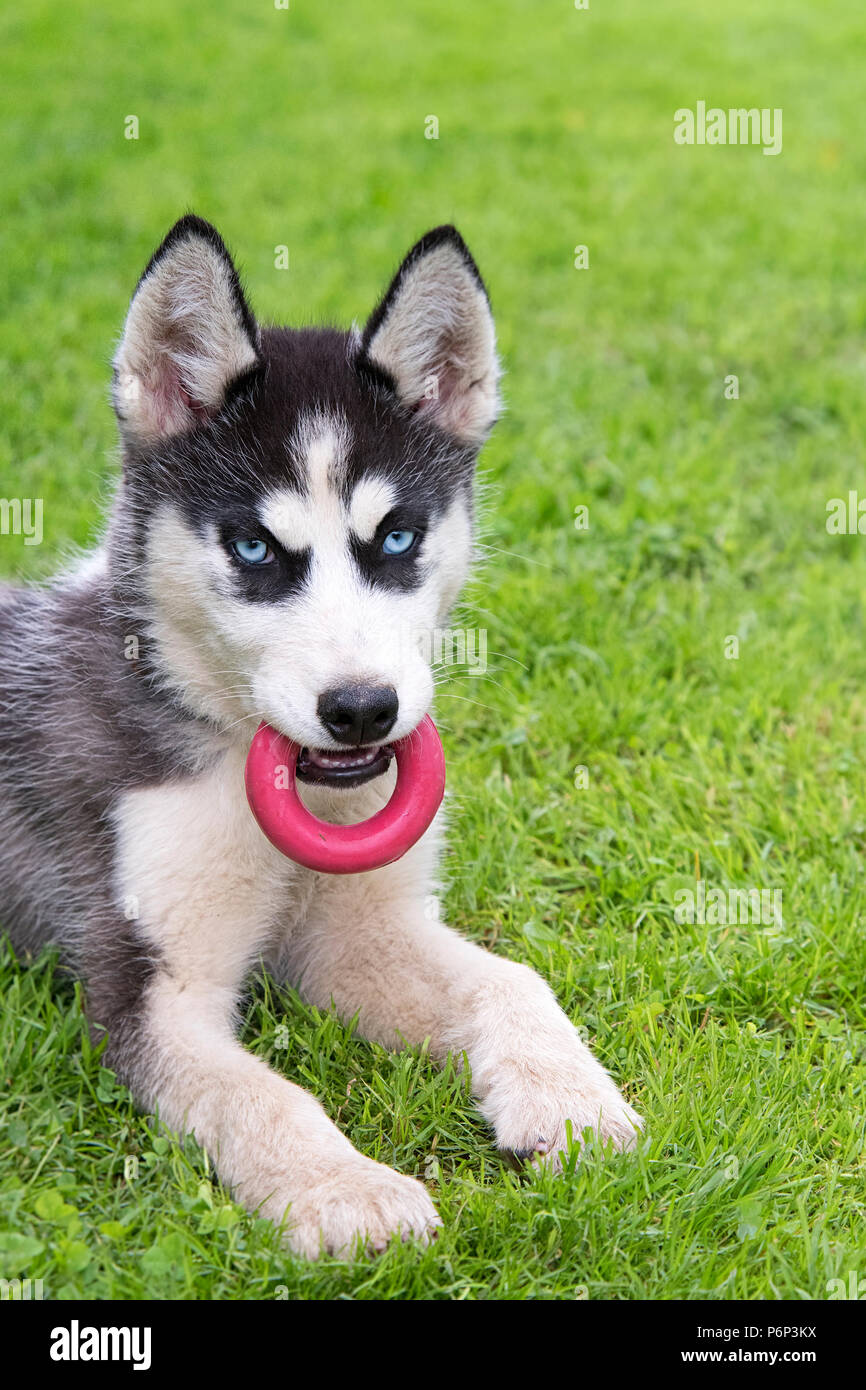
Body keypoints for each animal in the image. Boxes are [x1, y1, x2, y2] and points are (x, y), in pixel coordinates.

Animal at [0, 216, 636, 1262]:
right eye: (256, 548)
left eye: (398, 539)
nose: (363, 710)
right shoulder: (145, 987)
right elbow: (264, 1096)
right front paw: (348, 1190)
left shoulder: (356, 934)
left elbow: (513, 981)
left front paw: (566, 1096)